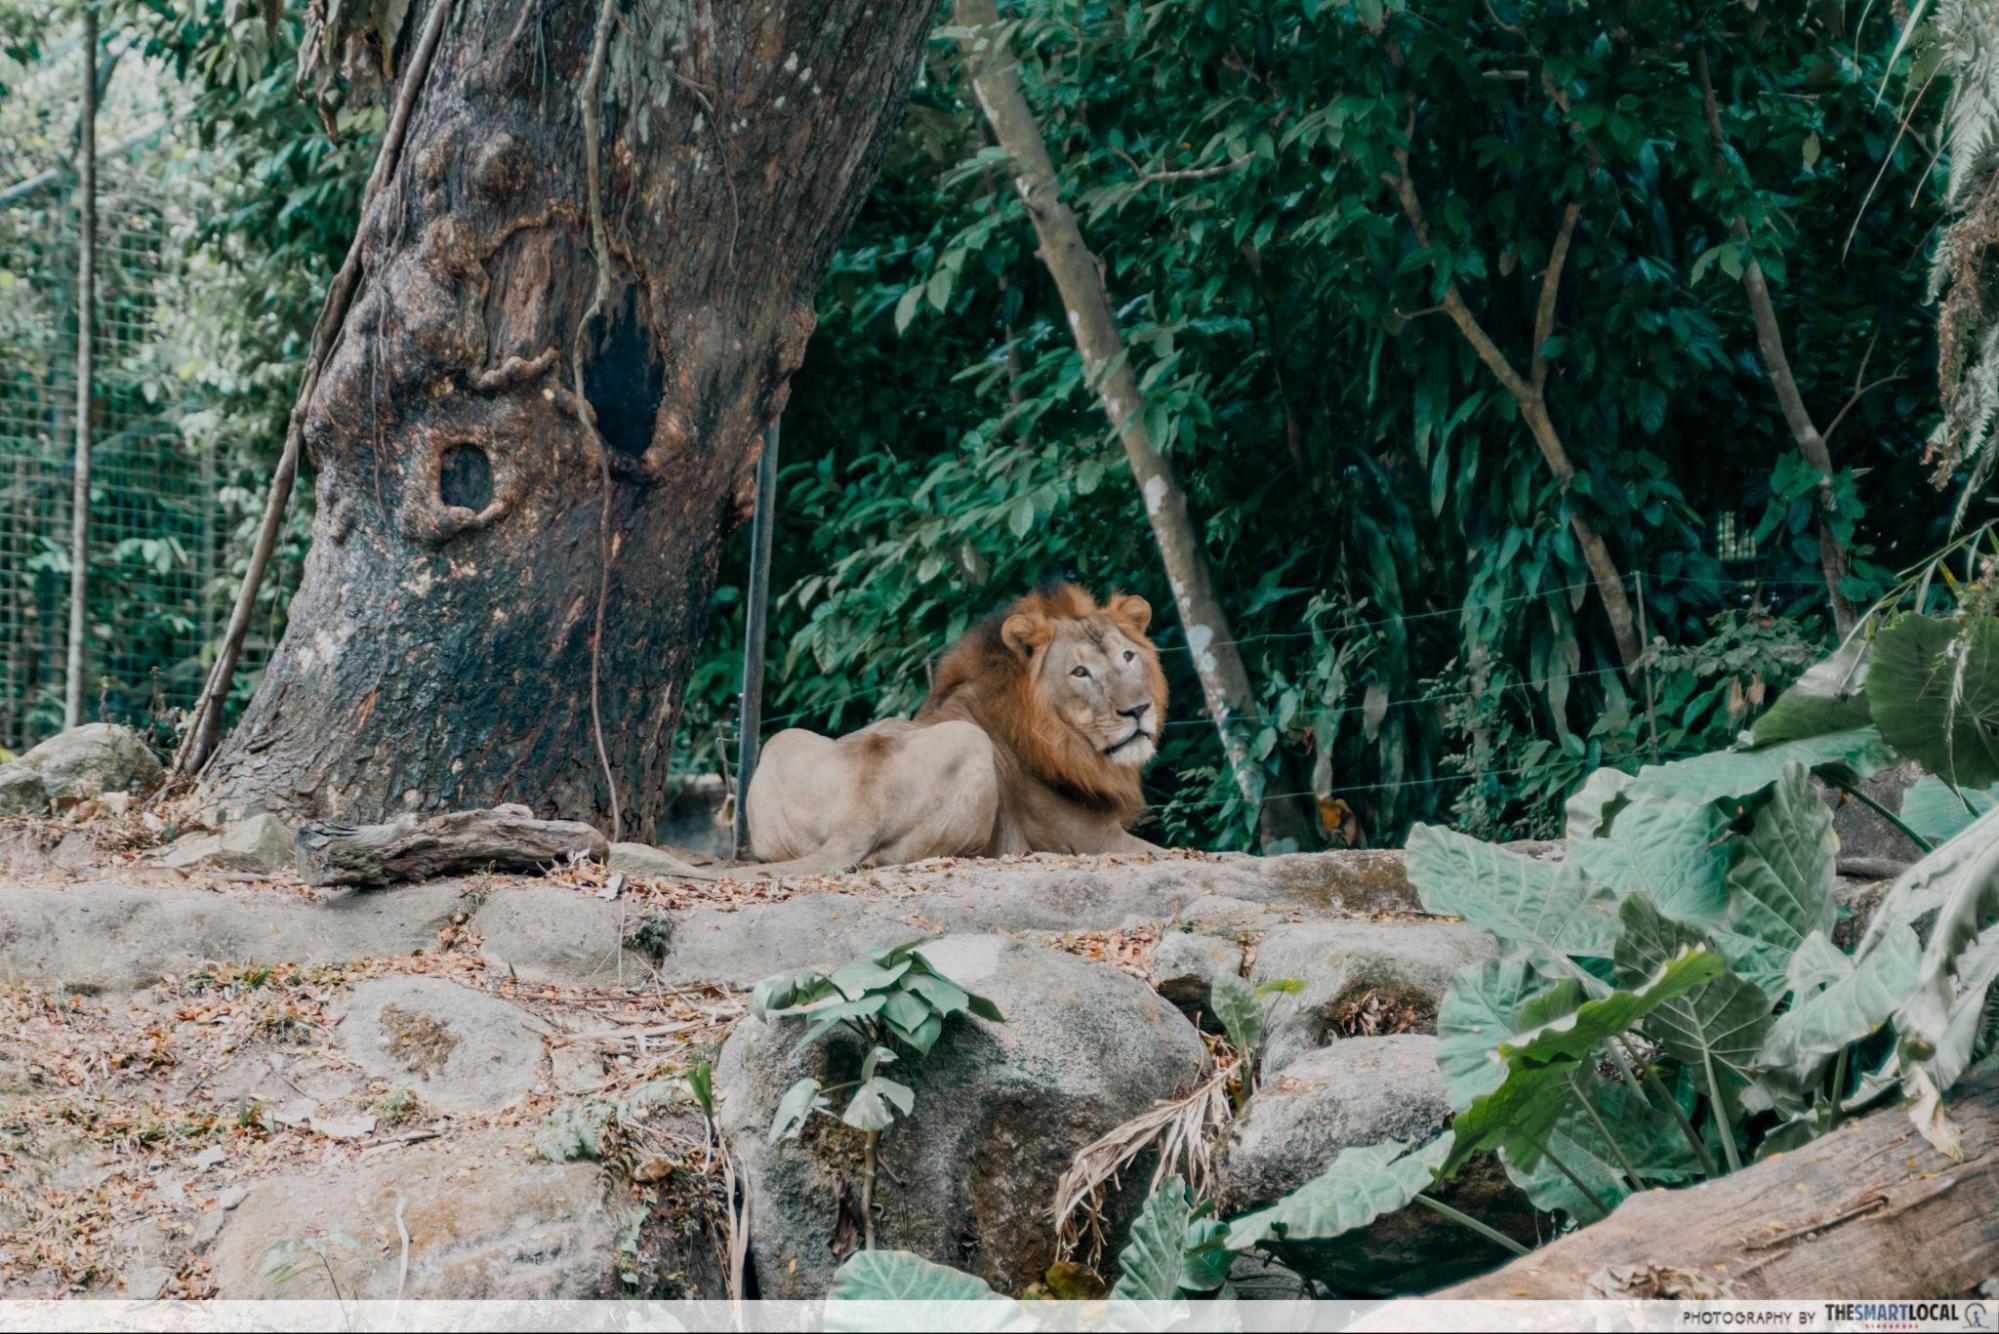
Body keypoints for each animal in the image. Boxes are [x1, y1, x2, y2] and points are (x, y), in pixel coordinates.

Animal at [742, 584, 1168, 872]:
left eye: (1128, 656)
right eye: (1080, 672)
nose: (1139, 709)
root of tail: (856, 816)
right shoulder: (1091, 837)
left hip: (782, 739)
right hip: (970, 741)